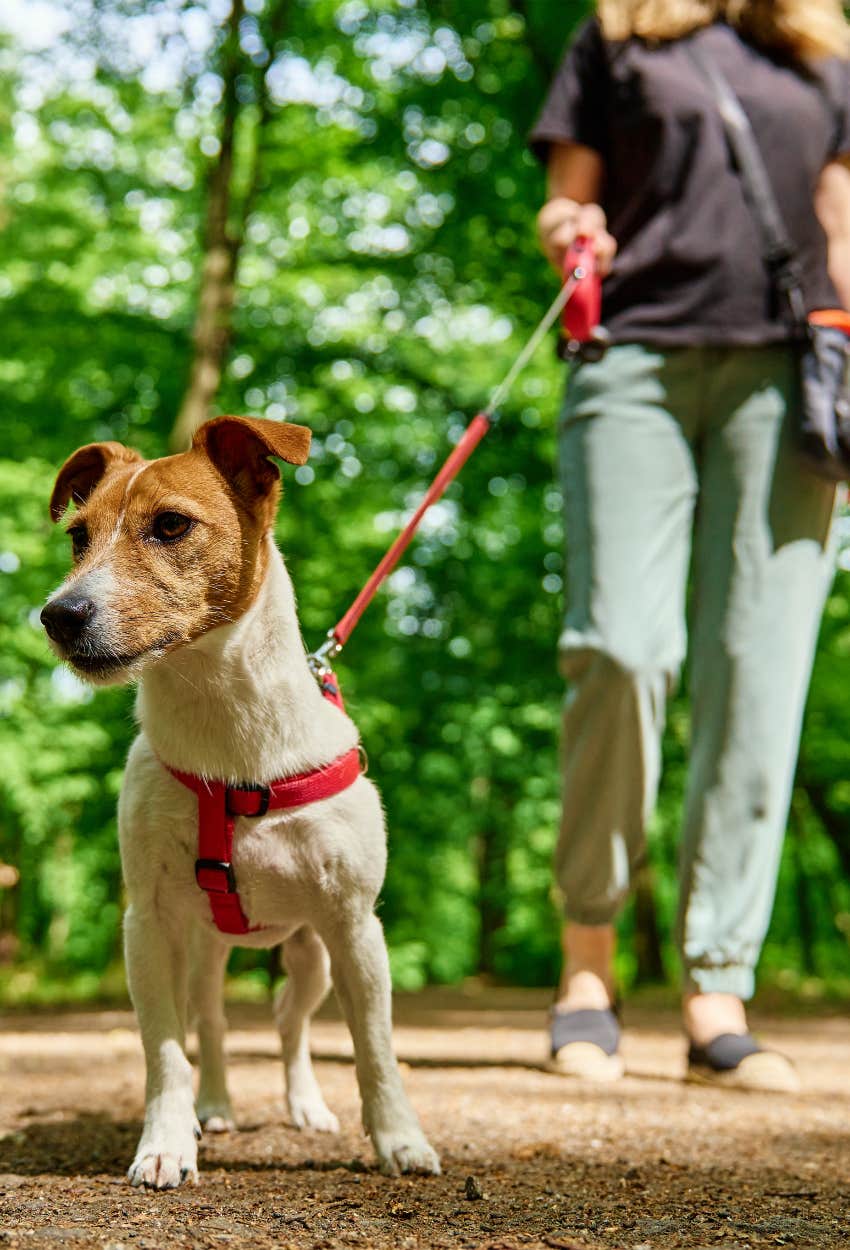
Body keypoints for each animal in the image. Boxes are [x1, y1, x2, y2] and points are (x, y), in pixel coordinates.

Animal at [40, 417, 442, 1190]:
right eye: (78, 535)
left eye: (171, 524)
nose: (58, 615)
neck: (229, 742)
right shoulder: (147, 926)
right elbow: (165, 1051)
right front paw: (166, 1143)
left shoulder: (356, 928)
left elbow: (376, 1050)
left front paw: (400, 1140)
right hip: (203, 952)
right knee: (215, 1023)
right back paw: (217, 1107)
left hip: (314, 955)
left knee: (290, 1022)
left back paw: (305, 1105)